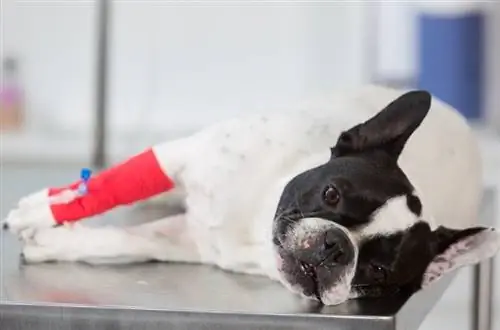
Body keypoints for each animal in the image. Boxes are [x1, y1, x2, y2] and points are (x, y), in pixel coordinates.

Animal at [4, 84, 500, 304]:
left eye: (378, 270)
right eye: (332, 194)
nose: (335, 246)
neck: (256, 223)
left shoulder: (188, 243)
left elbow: (119, 242)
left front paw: (53, 242)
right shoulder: (184, 156)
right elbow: (108, 185)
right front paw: (45, 210)